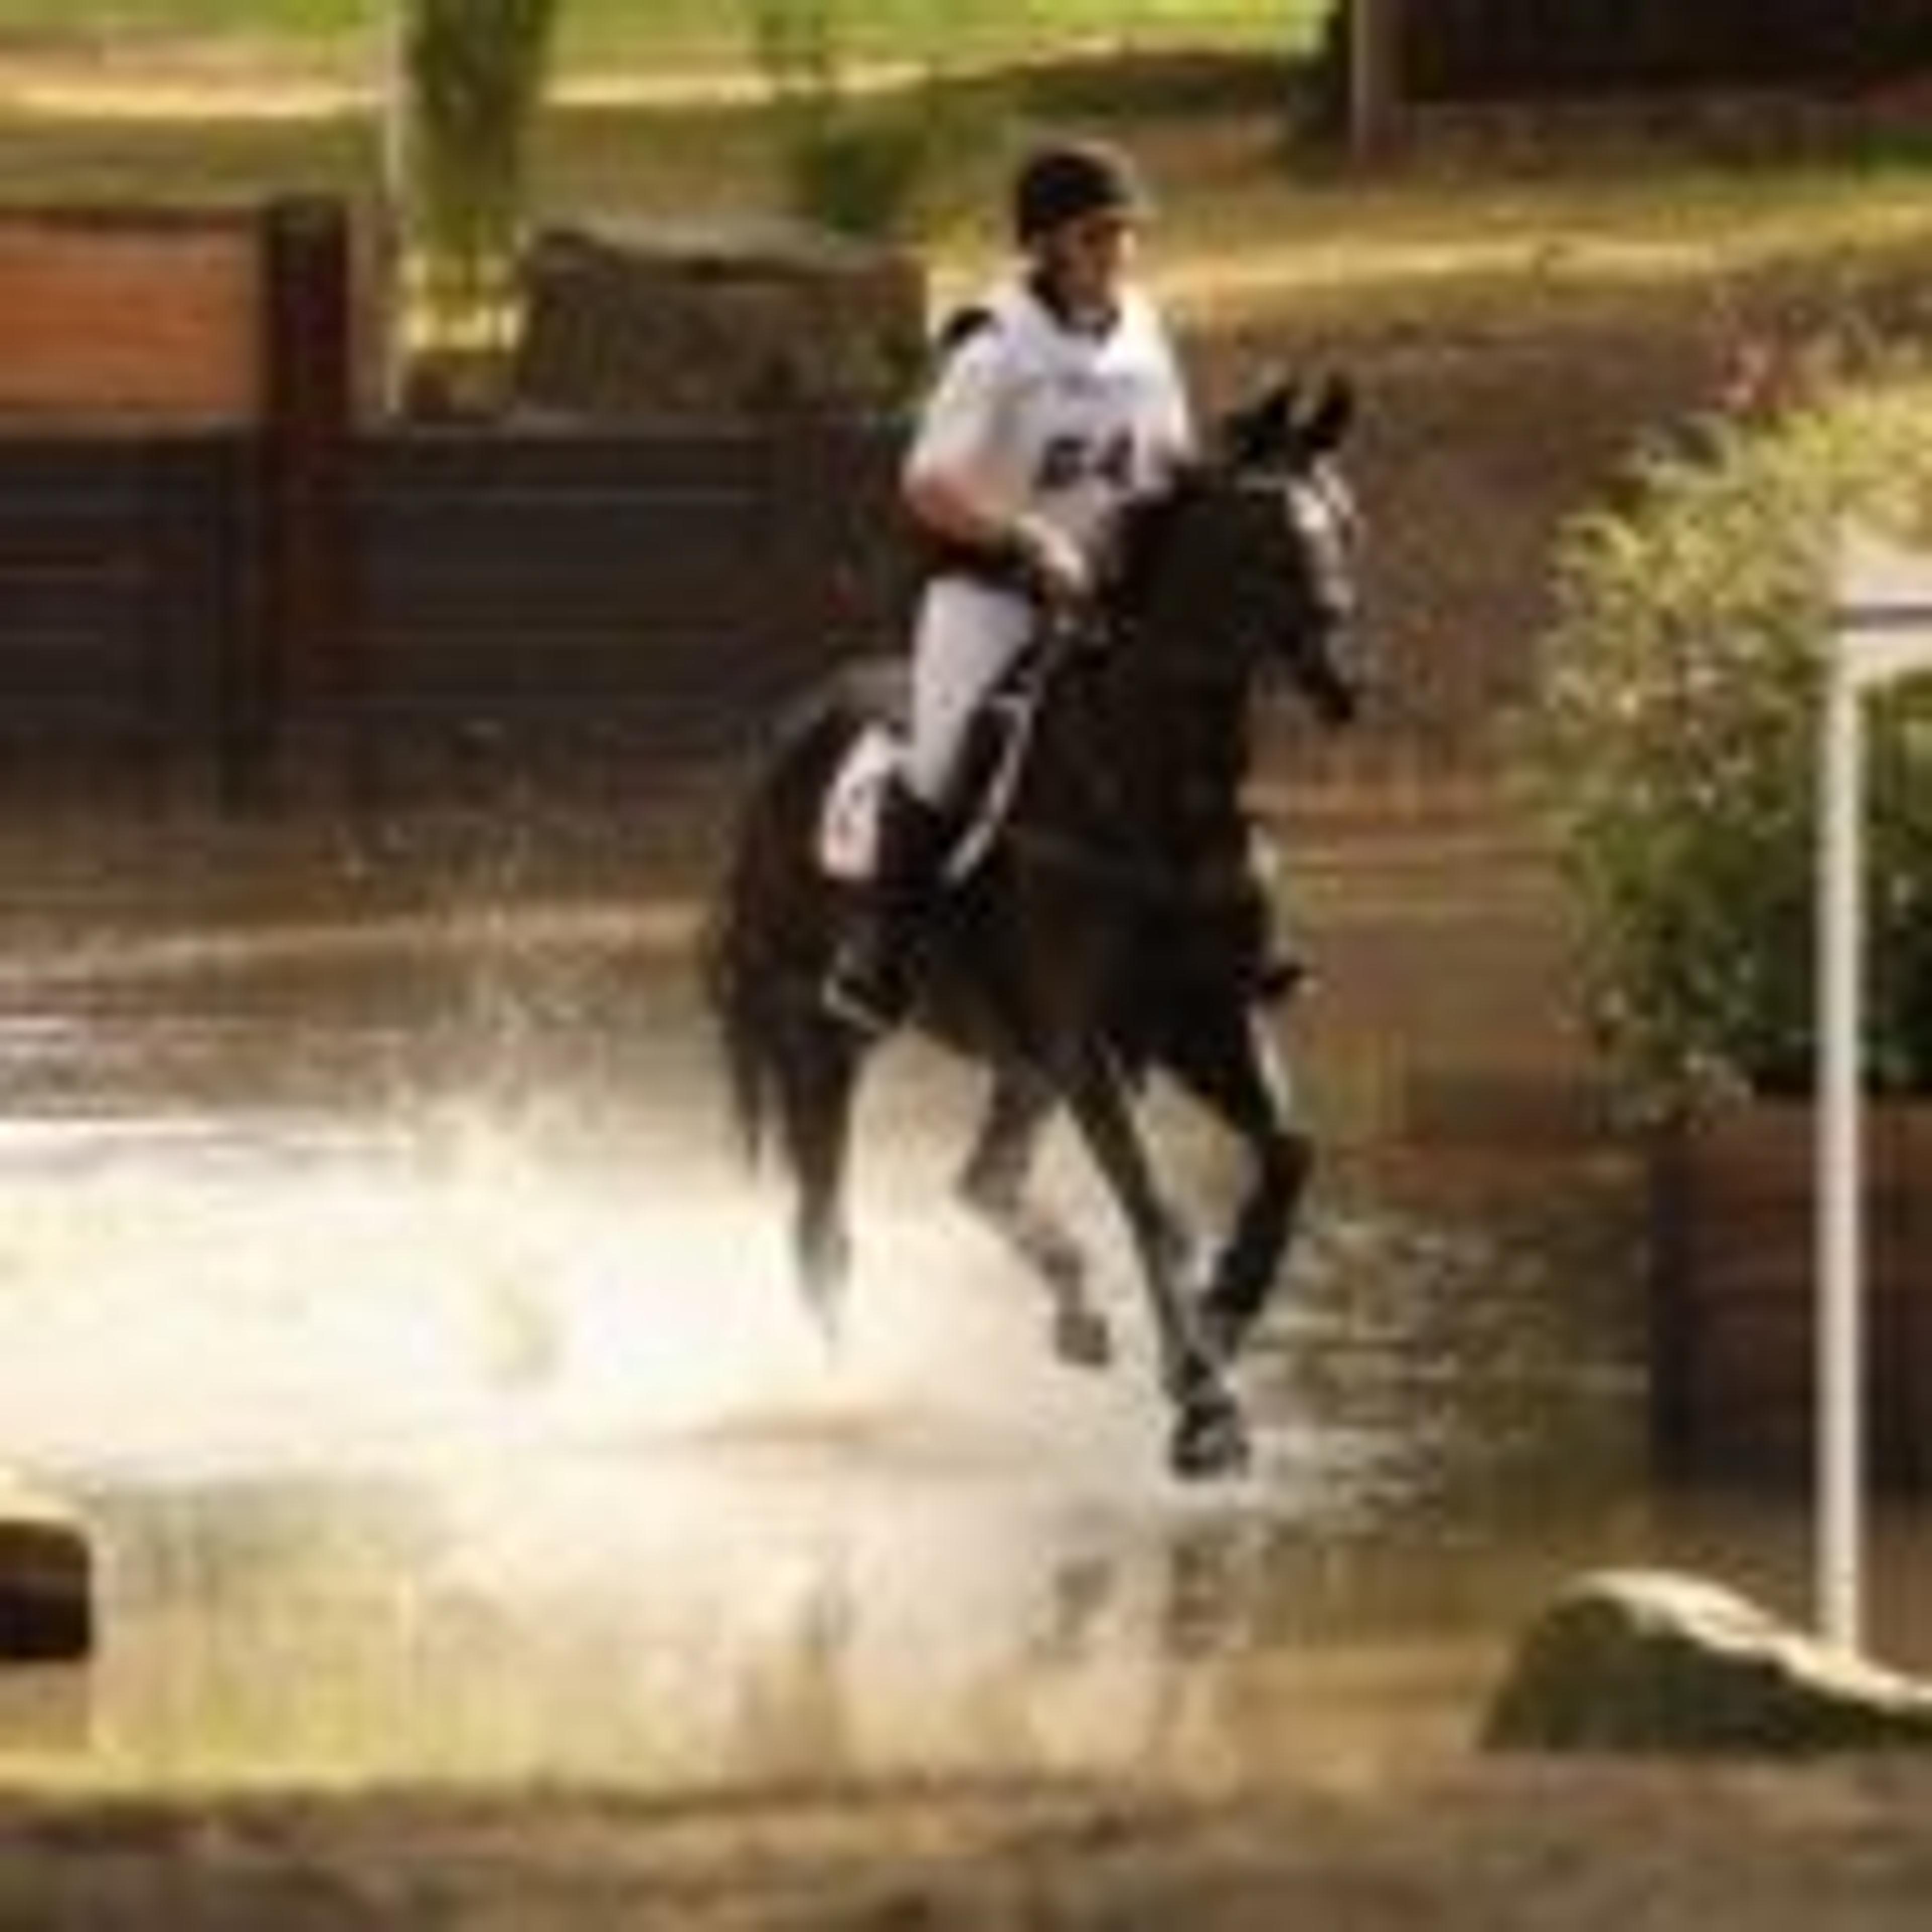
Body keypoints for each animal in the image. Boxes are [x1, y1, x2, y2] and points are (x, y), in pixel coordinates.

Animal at [702, 377, 1362, 1480]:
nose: (1349, 675)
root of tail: (783, 742)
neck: (1149, 798)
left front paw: (1228, 1311)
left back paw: (1076, 1311)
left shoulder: (1204, 1023)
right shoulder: (1089, 1044)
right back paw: (848, 1399)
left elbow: (1289, 1154)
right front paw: (1204, 1405)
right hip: (818, 1043)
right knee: (824, 1233)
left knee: (983, 1181)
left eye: (1348, 525)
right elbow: (1153, 1202)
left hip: (1019, 1064)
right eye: (1271, 541)